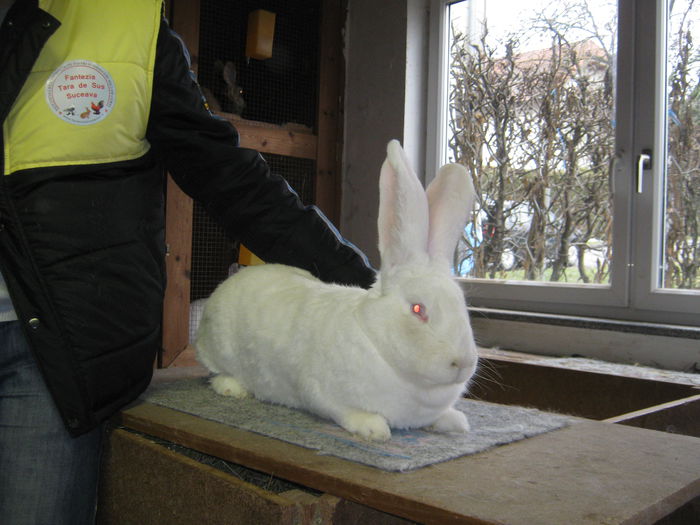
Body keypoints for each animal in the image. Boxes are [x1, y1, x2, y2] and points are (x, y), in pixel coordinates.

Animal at [194, 138, 478, 438]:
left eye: (463, 308)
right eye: (417, 309)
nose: (463, 363)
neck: (375, 338)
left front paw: (455, 421)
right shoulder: (321, 392)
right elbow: (344, 411)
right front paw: (373, 428)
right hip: (218, 349)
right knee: (216, 372)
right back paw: (232, 387)